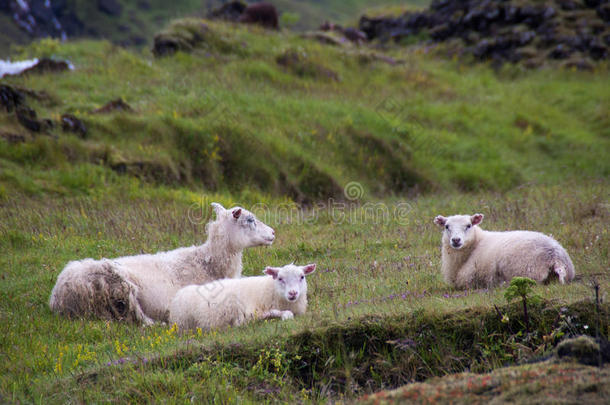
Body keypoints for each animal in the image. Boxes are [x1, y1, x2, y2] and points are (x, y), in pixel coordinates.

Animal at [48, 202, 274, 326]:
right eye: (250, 220)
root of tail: (60, 295)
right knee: (135, 317)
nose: (273, 233)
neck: (206, 263)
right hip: (119, 284)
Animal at [169, 262, 316, 332]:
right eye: (280, 278)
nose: (293, 293)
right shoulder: (247, 315)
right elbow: (280, 313)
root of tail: (178, 294)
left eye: (302, 277)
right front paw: (283, 315)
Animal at [432, 213, 568, 288]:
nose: (456, 240)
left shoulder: (467, 280)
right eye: (446, 226)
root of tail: (554, 257)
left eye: (469, 225)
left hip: (525, 271)